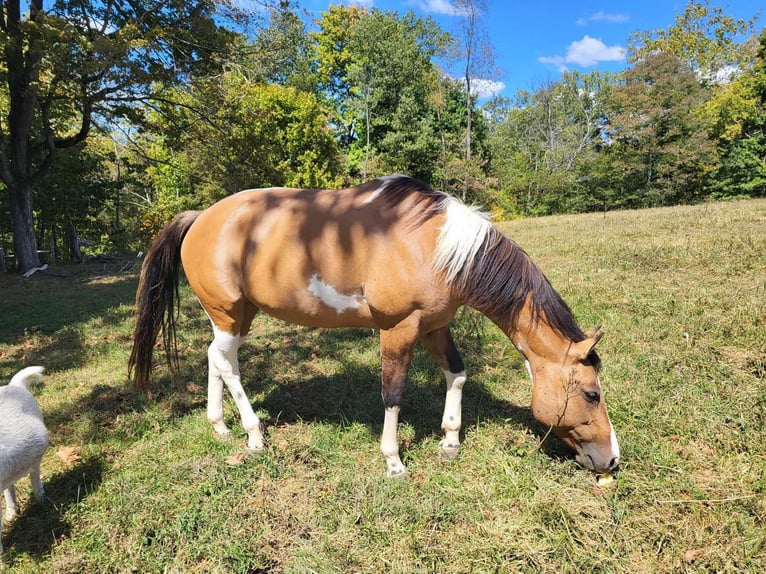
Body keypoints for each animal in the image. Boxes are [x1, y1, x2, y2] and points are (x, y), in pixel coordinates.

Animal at [129, 177, 620, 482]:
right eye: (591, 394)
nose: (612, 460)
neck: (435, 245)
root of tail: (199, 217)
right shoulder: (398, 329)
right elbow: (393, 393)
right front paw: (394, 462)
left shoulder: (435, 326)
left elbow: (457, 375)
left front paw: (450, 441)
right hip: (229, 313)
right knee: (227, 364)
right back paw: (253, 435)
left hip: (237, 316)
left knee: (216, 357)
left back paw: (220, 427)